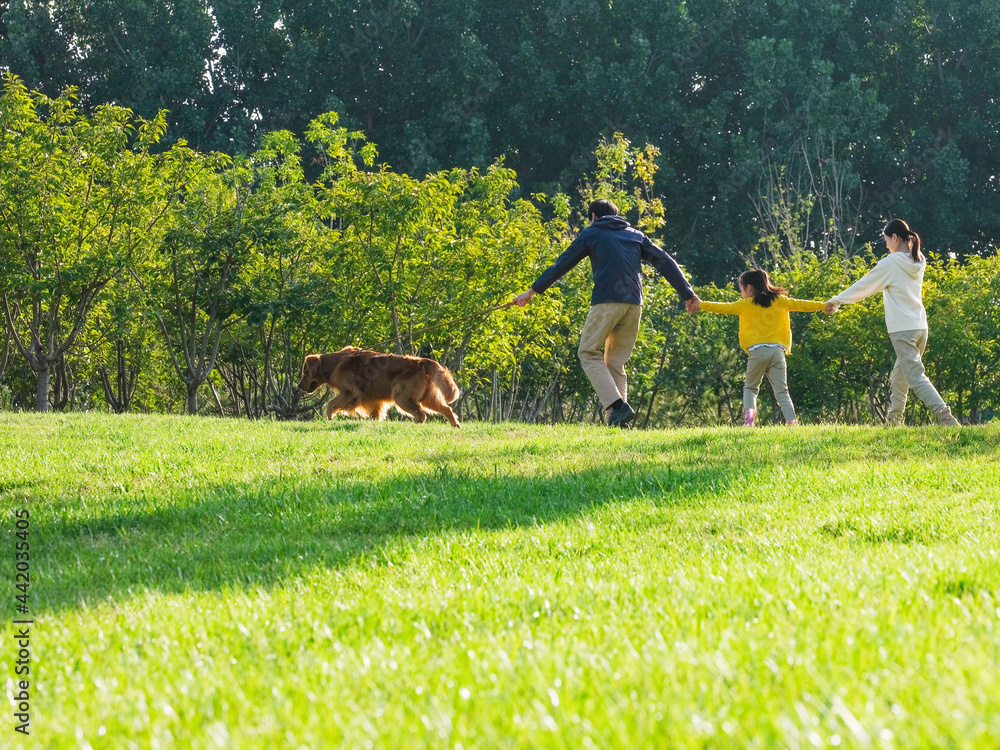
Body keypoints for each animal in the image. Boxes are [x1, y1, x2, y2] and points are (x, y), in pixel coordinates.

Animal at [298, 348, 462, 428]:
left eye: (305, 373)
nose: (299, 387)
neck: (334, 363)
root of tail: (421, 361)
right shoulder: (374, 399)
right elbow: (375, 414)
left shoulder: (351, 393)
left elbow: (331, 404)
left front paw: (329, 418)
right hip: (427, 397)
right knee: (446, 408)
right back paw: (455, 424)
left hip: (402, 397)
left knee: (421, 415)